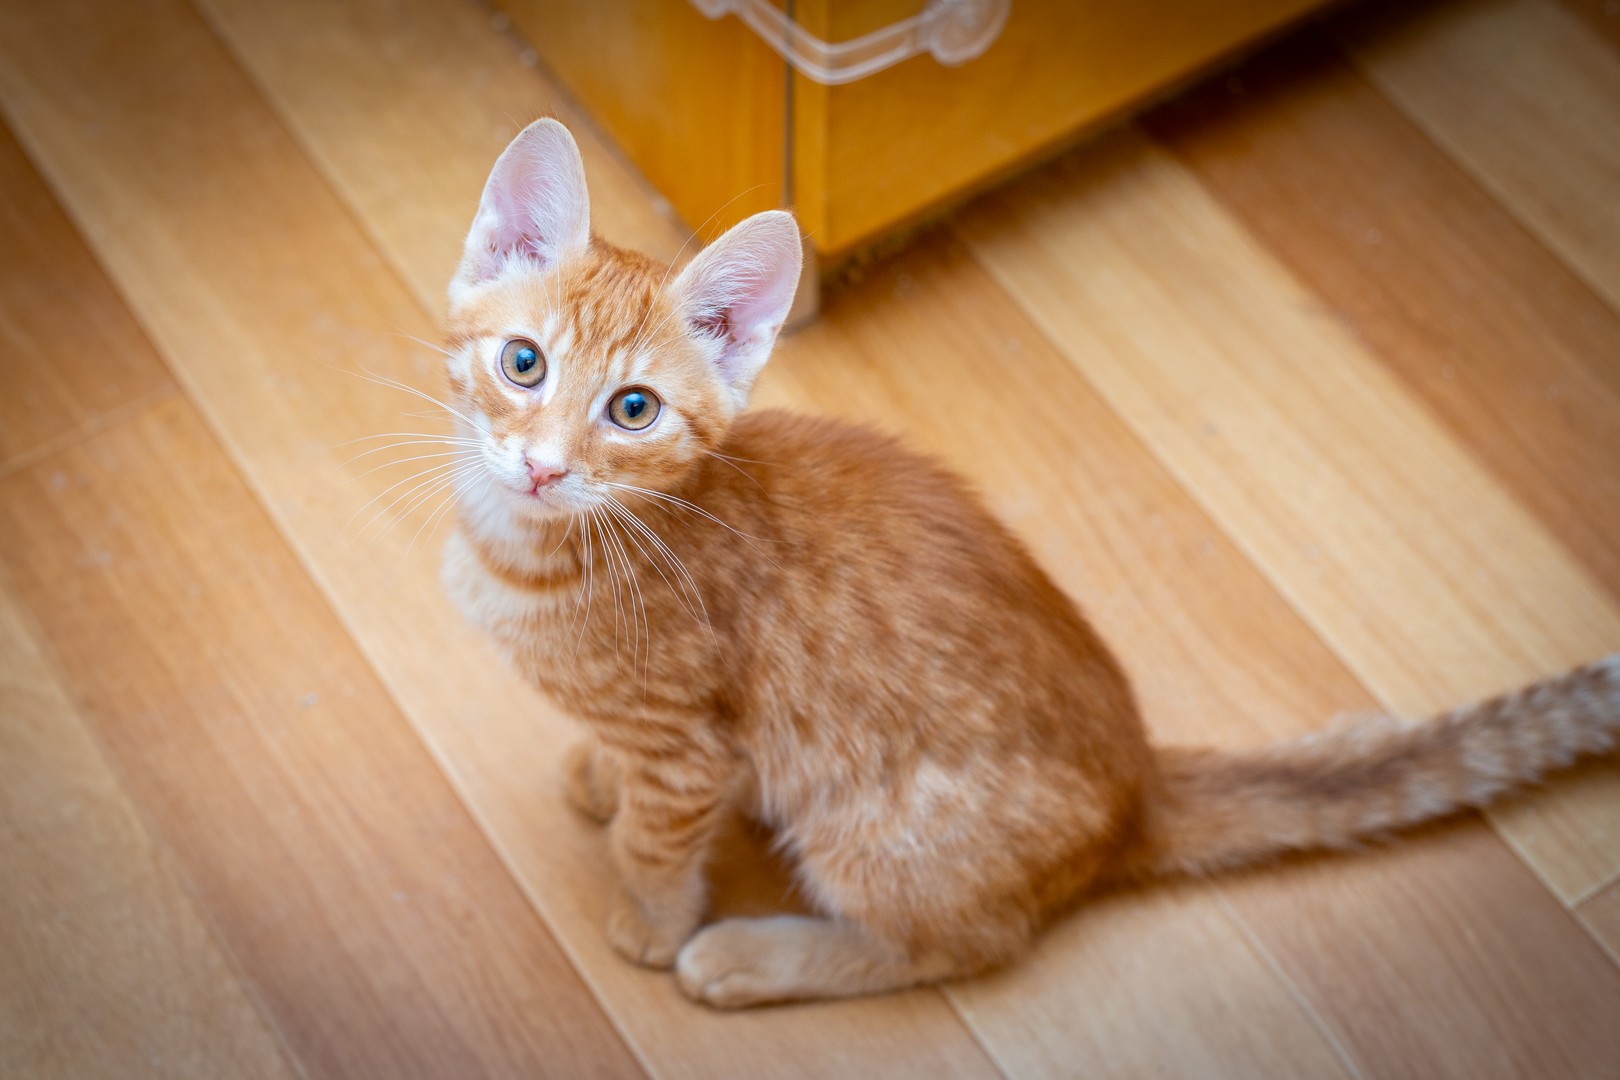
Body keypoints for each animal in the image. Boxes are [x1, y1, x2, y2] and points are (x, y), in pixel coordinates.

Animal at [440, 118, 1620, 1008]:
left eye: (633, 410)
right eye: (523, 364)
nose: (543, 467)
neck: (527, 553)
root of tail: (1136, 784)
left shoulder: (691, 744)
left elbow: (658, 835)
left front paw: (649, 917)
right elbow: (628, 773)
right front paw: (600, 773)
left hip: (874, 830)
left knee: (965, 945)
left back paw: (755, 955)